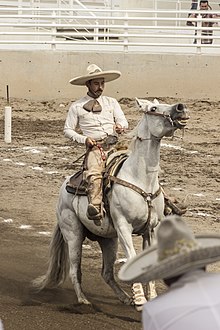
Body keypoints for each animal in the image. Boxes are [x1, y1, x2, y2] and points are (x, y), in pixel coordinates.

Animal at [32, 99, 189, 310]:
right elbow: (131, 258)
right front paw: (141, 301)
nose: (180, 107)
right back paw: (84, 300)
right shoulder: (123, 227)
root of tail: (63, 190)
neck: (141, 180)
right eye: (153, 108)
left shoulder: (151, 229)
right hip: (73, 234)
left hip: (108, 240)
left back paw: (125, 298)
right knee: (74, 269)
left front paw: (150, 298)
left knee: (106, 273)